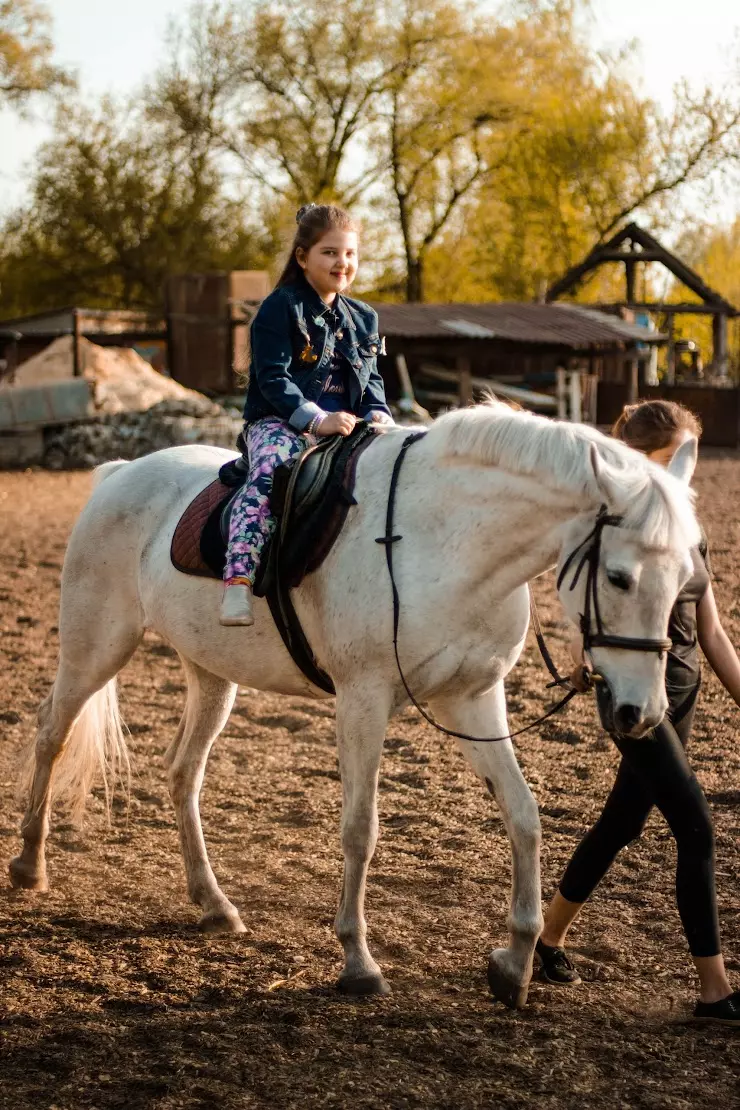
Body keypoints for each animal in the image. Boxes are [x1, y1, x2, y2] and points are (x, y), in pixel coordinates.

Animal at [10, 401, 701, 1007]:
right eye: (618, 578)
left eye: (686, 579)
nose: (642, 714)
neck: (445, 540)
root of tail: (121, 472)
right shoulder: (363, 699)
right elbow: (361, 829)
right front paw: (358, 962)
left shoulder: (474, 702)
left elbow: (524, 816)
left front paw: (515, 963)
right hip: (96, 647)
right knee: (51, 734)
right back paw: (29, 866)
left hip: (211, 675)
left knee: (183, 773)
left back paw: (213, 903)